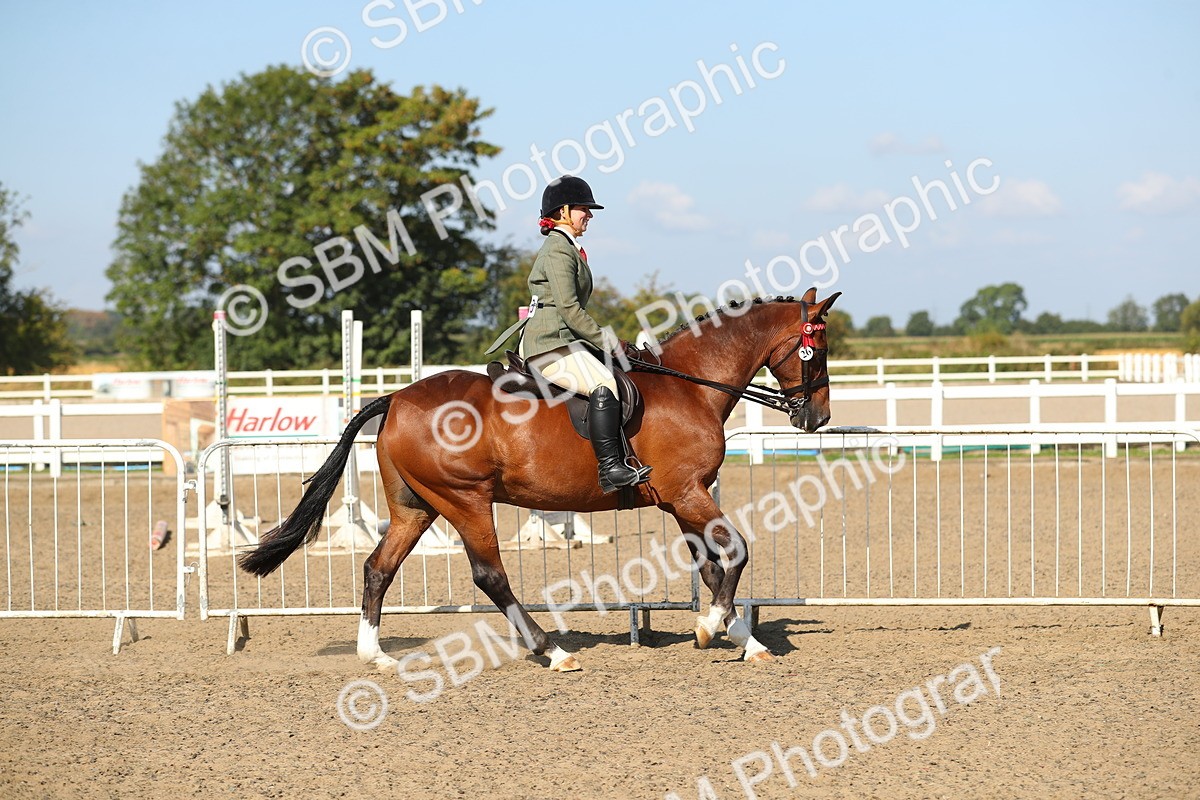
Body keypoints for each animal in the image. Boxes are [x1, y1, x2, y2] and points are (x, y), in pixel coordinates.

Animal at [238, 287, 841, 671]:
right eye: (817, 352)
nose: (817, 418)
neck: (690, 385)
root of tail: (398, 398)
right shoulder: (687, 493)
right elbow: (736, 552)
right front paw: (714, 628)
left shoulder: (679, 501)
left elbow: (713, 566)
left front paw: (739, 637)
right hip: (465, 501)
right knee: (490, 576)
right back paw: (552, 652)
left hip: (417, 506)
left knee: (377, 568)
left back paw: (376, 655)